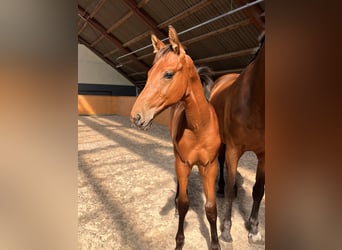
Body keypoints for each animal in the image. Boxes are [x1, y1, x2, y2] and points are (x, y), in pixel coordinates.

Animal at [130, 25, 220, 250]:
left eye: (168, 74)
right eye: (149, 73)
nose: (136, 117)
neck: (199, 127)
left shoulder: (210, 165)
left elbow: (211, 207)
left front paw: (215, 243)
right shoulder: (183, 162)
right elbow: (184, 202)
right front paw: (179, 241)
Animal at [208, 34, 264, 242]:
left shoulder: (264, 155)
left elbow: (258, 190)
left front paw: (254, 228)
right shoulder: (233, 149)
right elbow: (230, 191)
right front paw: (225, 229)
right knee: (222, 165)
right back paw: (220, 187)